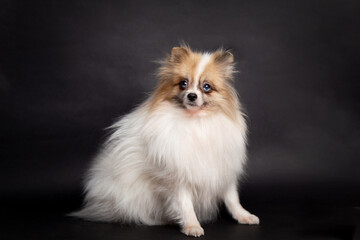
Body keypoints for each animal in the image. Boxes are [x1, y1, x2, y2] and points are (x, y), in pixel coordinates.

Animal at [71, 44, 258, 236]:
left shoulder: (222, 169)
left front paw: (244, 216)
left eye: (206, 87)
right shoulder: (177, 176)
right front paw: (192, 225)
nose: (192, 95)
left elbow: (232, 198)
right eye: (183, 84)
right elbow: (185, 204)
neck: (195, 121)